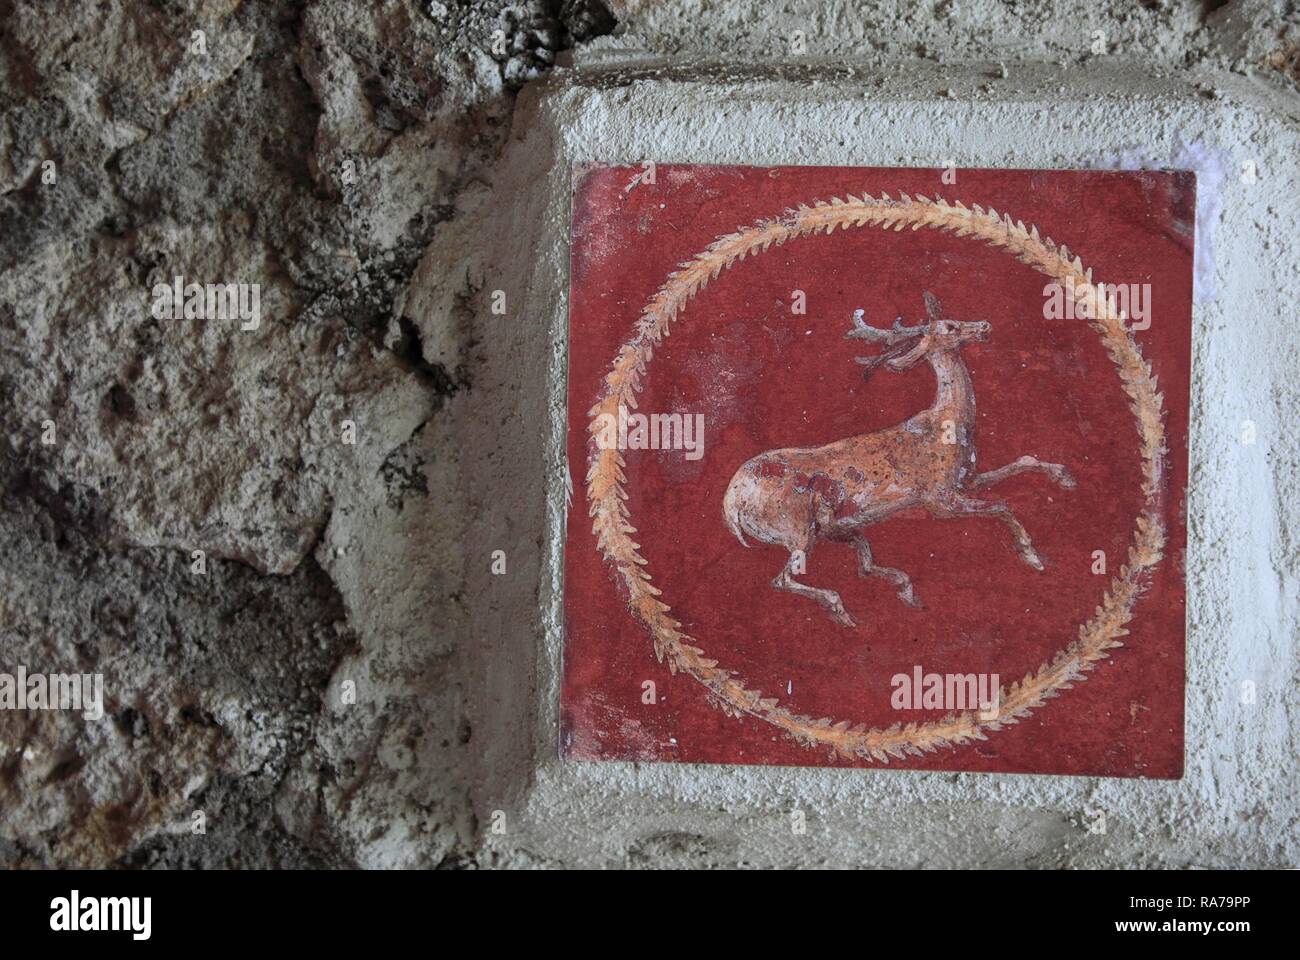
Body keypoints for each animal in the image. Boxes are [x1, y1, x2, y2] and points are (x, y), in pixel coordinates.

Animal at [722, 287, 1076, 624]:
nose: (984, 326)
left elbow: (1024, 460)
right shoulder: (938, 497)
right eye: (949, 327)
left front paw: (1065, 477)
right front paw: (1032, 557)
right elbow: (1003, 505)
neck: (950, 423)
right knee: (783, 578)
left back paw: (902, 591)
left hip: (828, 528)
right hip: (795, 526)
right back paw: (843, 610)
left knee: (861, 562)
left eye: (956, 317)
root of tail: (733, 504)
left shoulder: (967, 479)